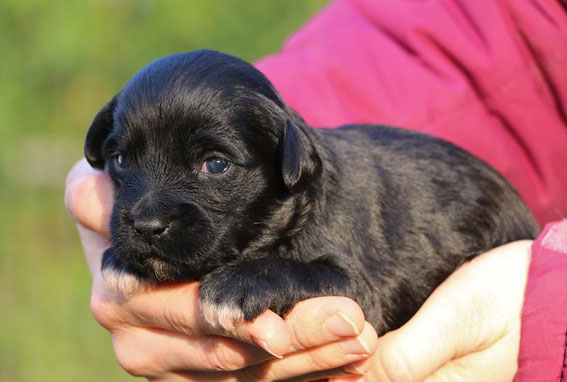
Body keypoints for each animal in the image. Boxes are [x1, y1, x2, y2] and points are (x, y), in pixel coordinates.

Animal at [85, 50, 540, 334]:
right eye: (120, 160)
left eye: (215, 164)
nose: (146, 226)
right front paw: (122, 261)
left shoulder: (362, 292)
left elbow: (302, 270)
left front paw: (238, 285)